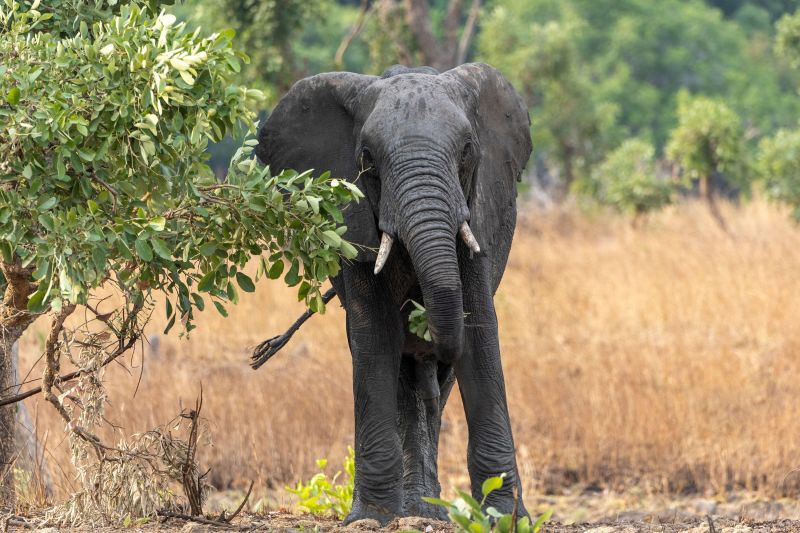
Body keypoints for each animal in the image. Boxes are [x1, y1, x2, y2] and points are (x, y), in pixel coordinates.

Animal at [255, 62, 532, 524]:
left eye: (467, 151)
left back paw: (427, 511)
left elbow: (479, 333)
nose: (425, 327)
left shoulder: (480, 212)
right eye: (367, 158)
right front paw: (370, 518)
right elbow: (376, 339)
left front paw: (505, 520)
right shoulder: (353, 221)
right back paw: (415, 509)